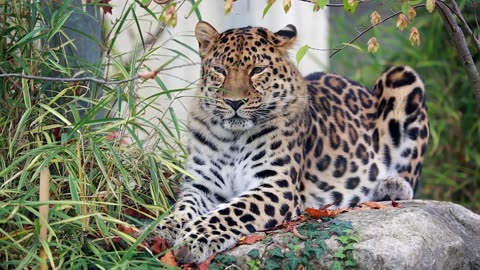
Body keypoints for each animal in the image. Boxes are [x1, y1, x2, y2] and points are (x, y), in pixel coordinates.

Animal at [144, 21, 430, 264]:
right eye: (219, 70)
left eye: (257, 70)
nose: (234, 103)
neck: (233, 137)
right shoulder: (202, 185)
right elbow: (182, 209)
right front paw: (159, 230)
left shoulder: (276, 185)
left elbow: (231, 211)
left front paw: (194, 240)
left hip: (403, 77)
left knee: (410, 177)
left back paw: (390, 186)